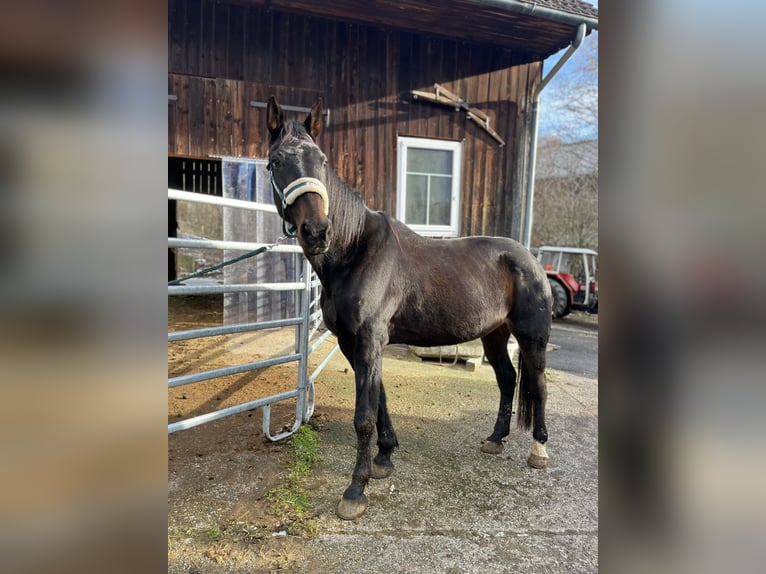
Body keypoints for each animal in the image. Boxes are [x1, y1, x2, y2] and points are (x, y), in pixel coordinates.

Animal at [268, 95, 556, 520]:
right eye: (275, 161)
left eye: (321, 159)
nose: (318, 231)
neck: (355, 251)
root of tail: (530, 258)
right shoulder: (353, 344)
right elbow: (380, 401)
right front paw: (384, 458)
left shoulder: (369, 341)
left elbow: (364, 416)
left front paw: (355, 490)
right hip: (494, 336)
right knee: (507, 379)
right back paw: (495, 439)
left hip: (532, 336)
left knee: (537, 385)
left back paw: (538, 451)